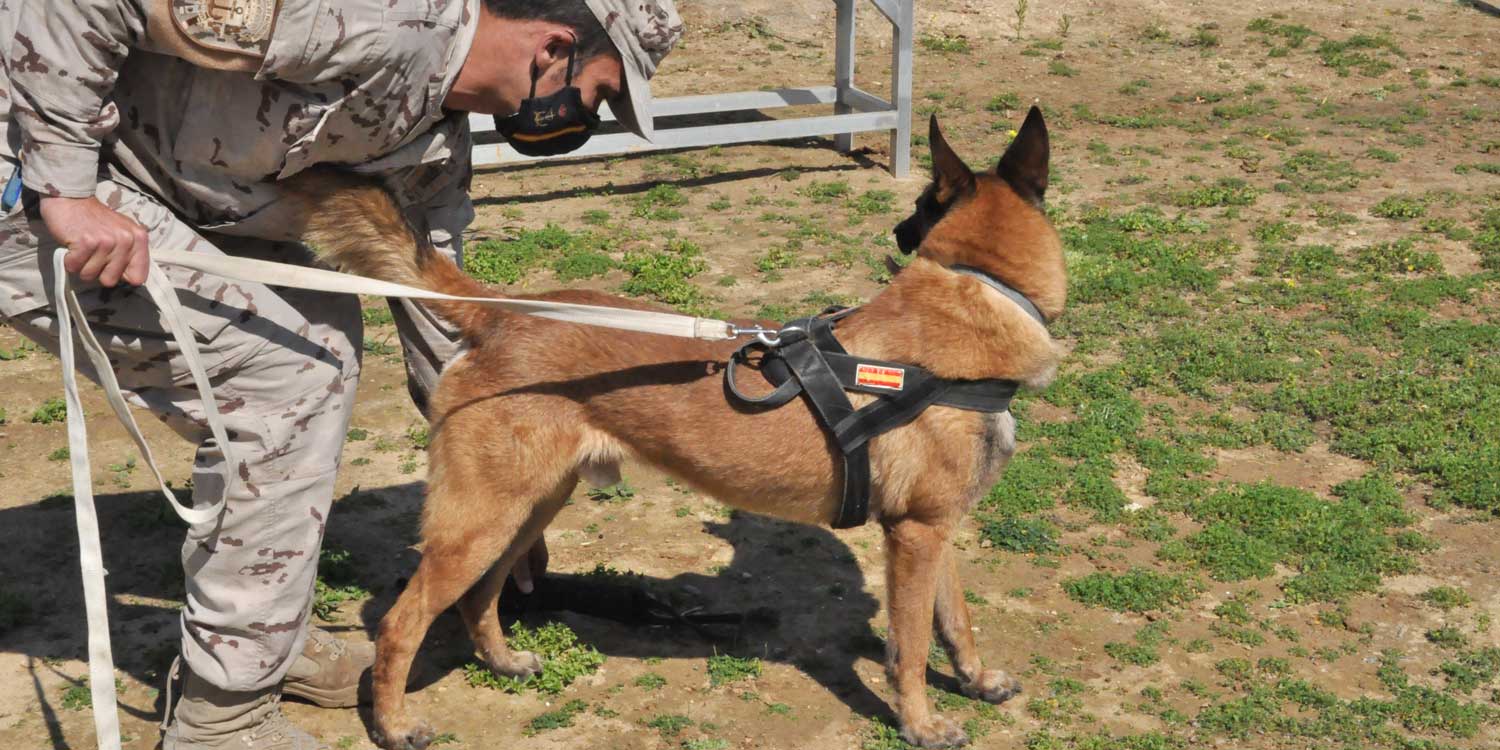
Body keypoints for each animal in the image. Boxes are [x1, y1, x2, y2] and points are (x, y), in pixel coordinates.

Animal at [292, 108, 1068, 747]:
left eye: (918, 207)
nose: (900, 234)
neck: (981, 290)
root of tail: (504, 312)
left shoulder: (934, 528)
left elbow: (955, 618)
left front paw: (976, 681)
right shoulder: (914, 535)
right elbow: (910, 645)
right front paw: (921, 723)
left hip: (528, 507)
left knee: (481, 597)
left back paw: (505, 661)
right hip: (481, 519)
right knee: (402, 622)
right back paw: (395, 724)